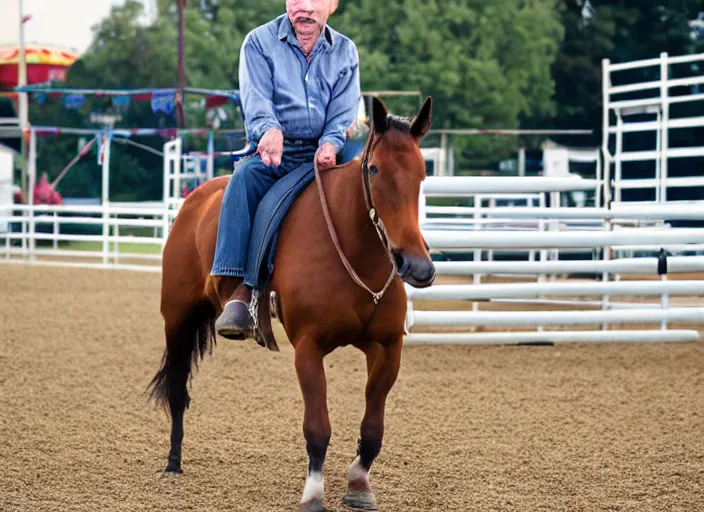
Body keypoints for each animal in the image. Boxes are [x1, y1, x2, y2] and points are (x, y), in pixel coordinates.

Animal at [148, 95, 434, 508]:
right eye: (375, 169)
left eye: (422, 173)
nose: (417, 266)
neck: (353, 250)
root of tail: (194, 199)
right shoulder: (308, 348)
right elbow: (317, 428)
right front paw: (313, 495)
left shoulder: (387, 347)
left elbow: (373, 429)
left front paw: (359, 485)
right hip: (178, 318)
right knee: (176, 388)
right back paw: (173, 461)